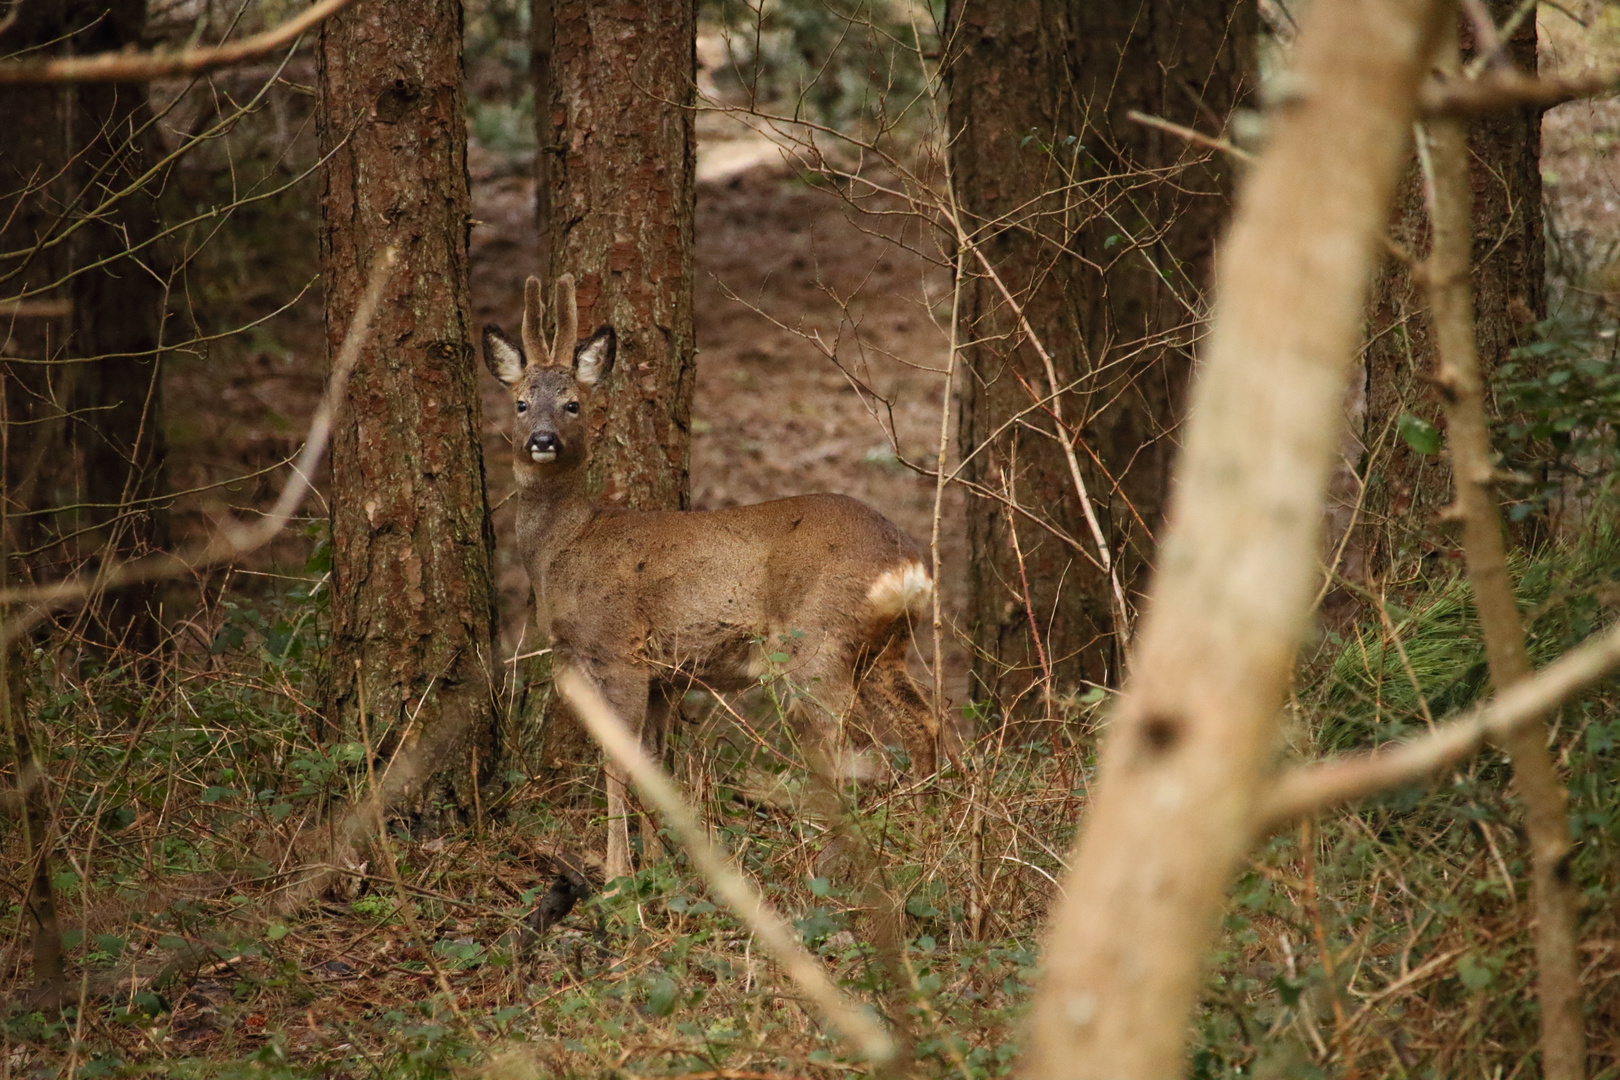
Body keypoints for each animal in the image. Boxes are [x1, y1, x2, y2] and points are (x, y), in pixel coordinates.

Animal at [479, 275, 939, 880]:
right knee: (922, 722)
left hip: (816, 645)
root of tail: (906, 563)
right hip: (884, 648)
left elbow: (618, 763)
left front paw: (617, 875)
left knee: (848, 746)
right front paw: (658, 863)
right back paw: (930, 832)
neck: (566, 548)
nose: (542, 439)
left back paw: (826, 864)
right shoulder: (663, 676)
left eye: (573, 404)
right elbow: (653, 762)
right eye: (521, 402)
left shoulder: (618, 650)